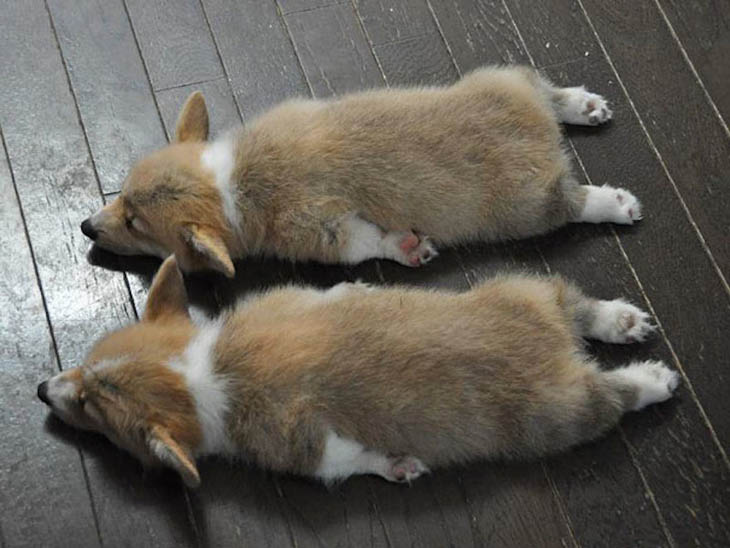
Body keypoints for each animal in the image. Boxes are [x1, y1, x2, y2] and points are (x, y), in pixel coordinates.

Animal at [38, 256, 676, 488]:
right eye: (86, 362)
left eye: (91, 408)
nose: (42, 389)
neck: (203, 369)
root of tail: (561, 349)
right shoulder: (295, 300)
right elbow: (335, 293)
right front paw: (360, 290)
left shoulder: (302, 446)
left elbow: (342, 462)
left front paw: (398, 466)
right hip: (526, 289)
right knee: (574, 303)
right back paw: (619, 320)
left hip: (559, 415)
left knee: (613, 395)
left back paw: (653, 380)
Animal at [81, 65, 636, 278]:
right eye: (122, 195)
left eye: (135, 224)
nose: (85, 227)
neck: (228, 185)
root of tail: (543, 136)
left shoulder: (320, 231)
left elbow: (364, 244)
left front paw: (408, 248)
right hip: (501, 80)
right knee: (541, 87)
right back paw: (583, 106)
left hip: (527, 207)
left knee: (572, 203)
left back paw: (616, 203)